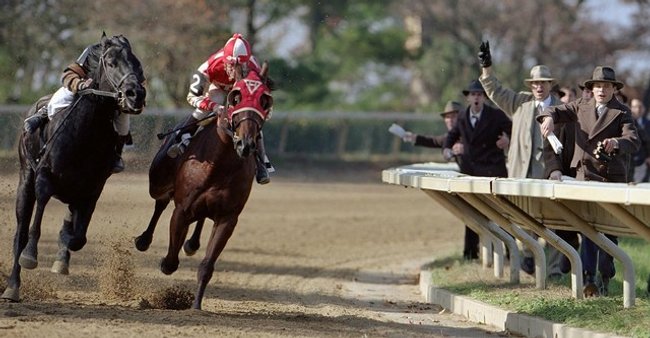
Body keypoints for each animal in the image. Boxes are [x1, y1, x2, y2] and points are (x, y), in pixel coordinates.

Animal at [0, 33, 146, 302]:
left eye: (138, 64)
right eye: (111, 62)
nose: (135, 94)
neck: (85, 135)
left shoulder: (93, 188)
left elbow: (78, 237)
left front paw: (62, 251)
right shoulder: (44, 176)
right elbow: (35, 221)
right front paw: (30, 255)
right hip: (25, 178)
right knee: (20, 232)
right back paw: (12, 286)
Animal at [134, 62, 270, 308]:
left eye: (265, 101)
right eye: (236, 97)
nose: (246, 144)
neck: (220, 164)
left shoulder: (228, 218)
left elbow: (207, 265)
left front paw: (196, 305)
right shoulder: (182, 210)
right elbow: (170, 262)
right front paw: (165, 263)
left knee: (200, 219)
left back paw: (191, 243)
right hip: (158, 181)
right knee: (161, 203)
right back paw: (144, 240)